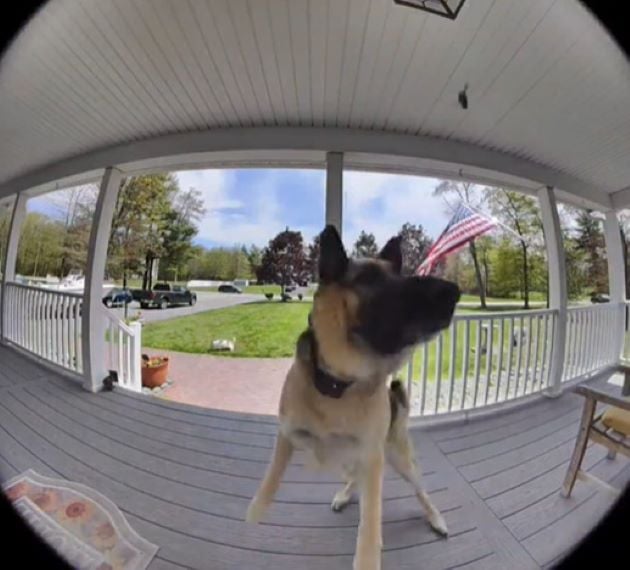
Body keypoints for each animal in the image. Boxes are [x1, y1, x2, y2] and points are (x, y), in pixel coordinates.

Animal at [246, 224, 460, 568]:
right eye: (371, 279)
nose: (454, 292)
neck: (337, 384)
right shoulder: (288, 433)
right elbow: (273, 472)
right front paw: (257, 508)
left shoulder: (371, 457)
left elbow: (371, 520)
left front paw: (367, 557)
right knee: (352, 476)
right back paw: (345, 493)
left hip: (399, 458)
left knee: (420, 490)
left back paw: (435, 518)